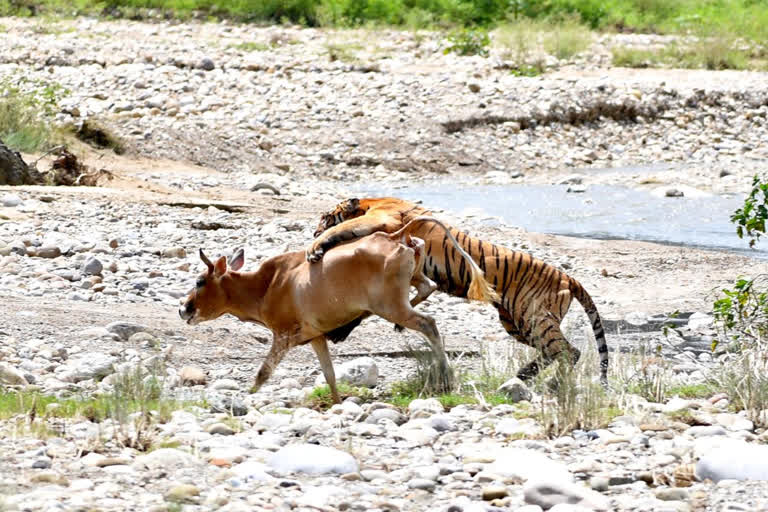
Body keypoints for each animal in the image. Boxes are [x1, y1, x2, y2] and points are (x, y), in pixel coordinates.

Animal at [308, 196, 608, 384]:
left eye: (324, 217)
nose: (312, 232)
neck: (371, 202)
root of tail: (568, 277)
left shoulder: (379, 221)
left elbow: (340, 231)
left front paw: (315, 249)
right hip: (516, 322)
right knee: (556, 351)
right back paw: (524, 375)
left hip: (534, 317)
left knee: (568, 352)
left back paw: (553, 383)